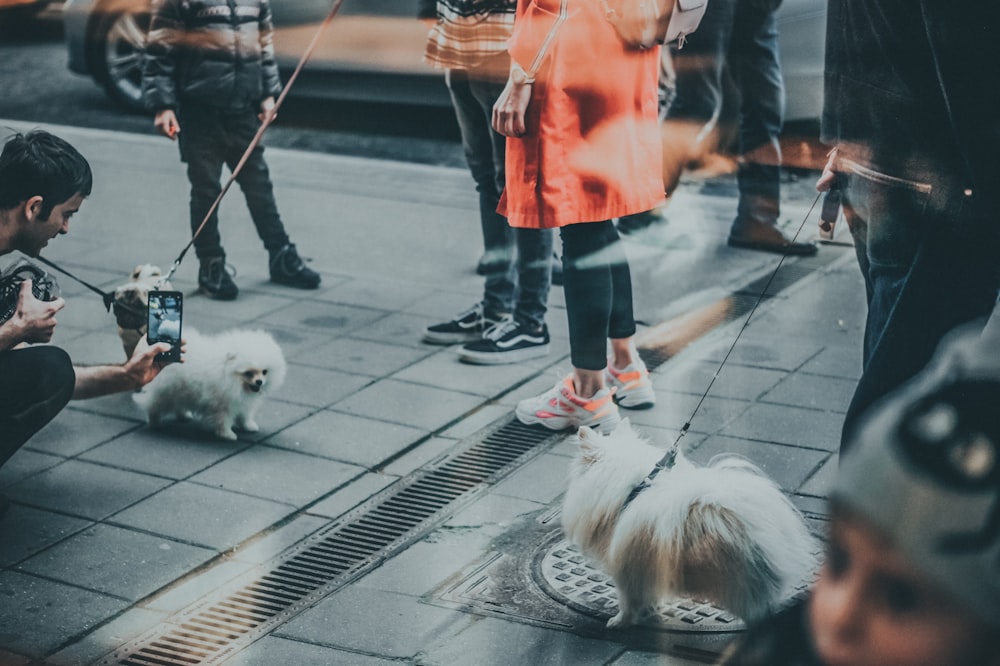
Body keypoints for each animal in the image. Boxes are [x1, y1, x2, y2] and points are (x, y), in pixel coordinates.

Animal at [135, 324, 288, 438]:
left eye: (264, 372)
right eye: (248, 373)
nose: (259, 382)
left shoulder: (241, 401)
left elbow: (244, 415)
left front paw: (248, 426)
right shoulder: (221, 403)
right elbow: (223, 419)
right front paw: (227, 434)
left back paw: (184, 415)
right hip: (166, 392)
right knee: (154, 405)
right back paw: (155, 423)